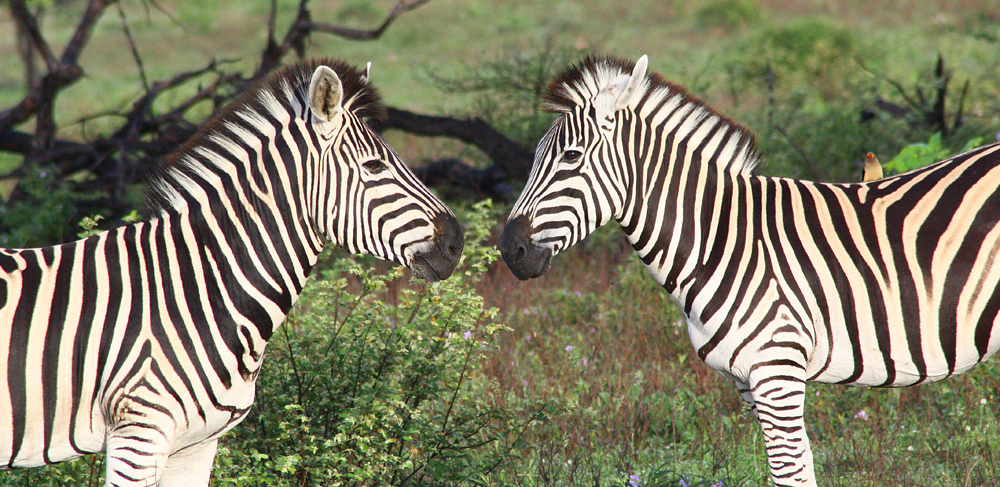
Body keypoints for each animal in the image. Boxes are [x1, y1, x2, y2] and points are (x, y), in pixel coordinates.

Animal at [500, 54, 1000, 487]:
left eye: (571, 156)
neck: (723, 241)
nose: (509, 249)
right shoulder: (749, 382)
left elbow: (790, 474)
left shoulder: (777, 370)